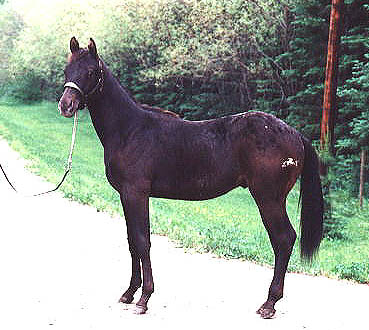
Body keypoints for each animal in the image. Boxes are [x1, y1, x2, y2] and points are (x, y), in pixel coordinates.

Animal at [57, 37, 322, 318]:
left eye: (90, 72)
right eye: (66, 70)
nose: (66, 105)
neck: (130, 129)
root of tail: (295, 134)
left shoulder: (136, 194)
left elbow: (142, 241)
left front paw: (144, 298)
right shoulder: (125, 195)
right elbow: (131, 242)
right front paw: (129, 293)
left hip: (269, 199)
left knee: (283, 239)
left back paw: (269, 303)